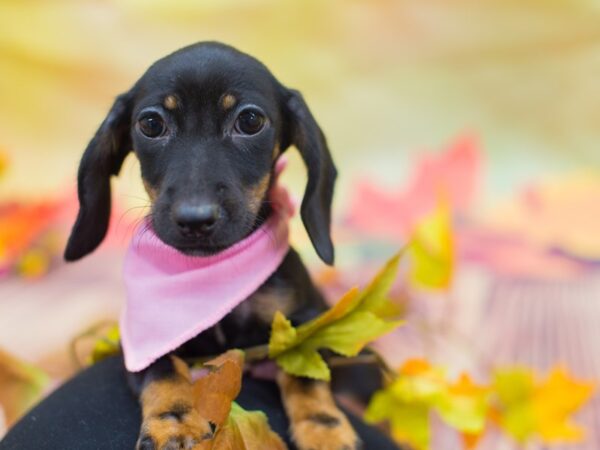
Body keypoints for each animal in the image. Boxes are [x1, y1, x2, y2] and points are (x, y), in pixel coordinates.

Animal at [64, 43, 360, 450]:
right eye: (151, 124)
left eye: (250, 121)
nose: (195, 219)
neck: (212, 276)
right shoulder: (140, 337)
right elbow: (161, 370)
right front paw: (173, 421)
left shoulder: (306, 320)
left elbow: (305, 374)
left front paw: (323, 426)